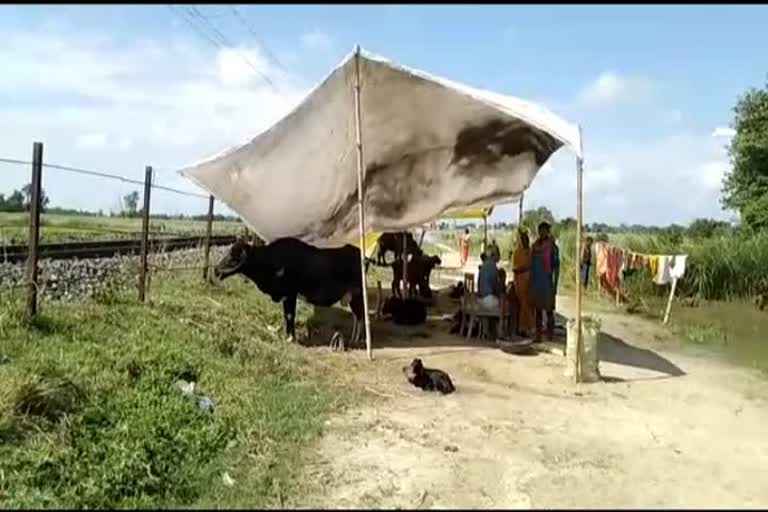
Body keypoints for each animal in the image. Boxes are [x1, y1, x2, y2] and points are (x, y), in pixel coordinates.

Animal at [212, 238, 364, 346]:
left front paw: (291, 338)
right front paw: (287, 335)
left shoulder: (290, 294)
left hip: (357, 294)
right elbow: (286, 315)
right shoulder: (285, 296)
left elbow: (290, 315)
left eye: (234, 256)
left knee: (360, 316)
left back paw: (357, 340)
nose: (216, 270)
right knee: (357, 316)